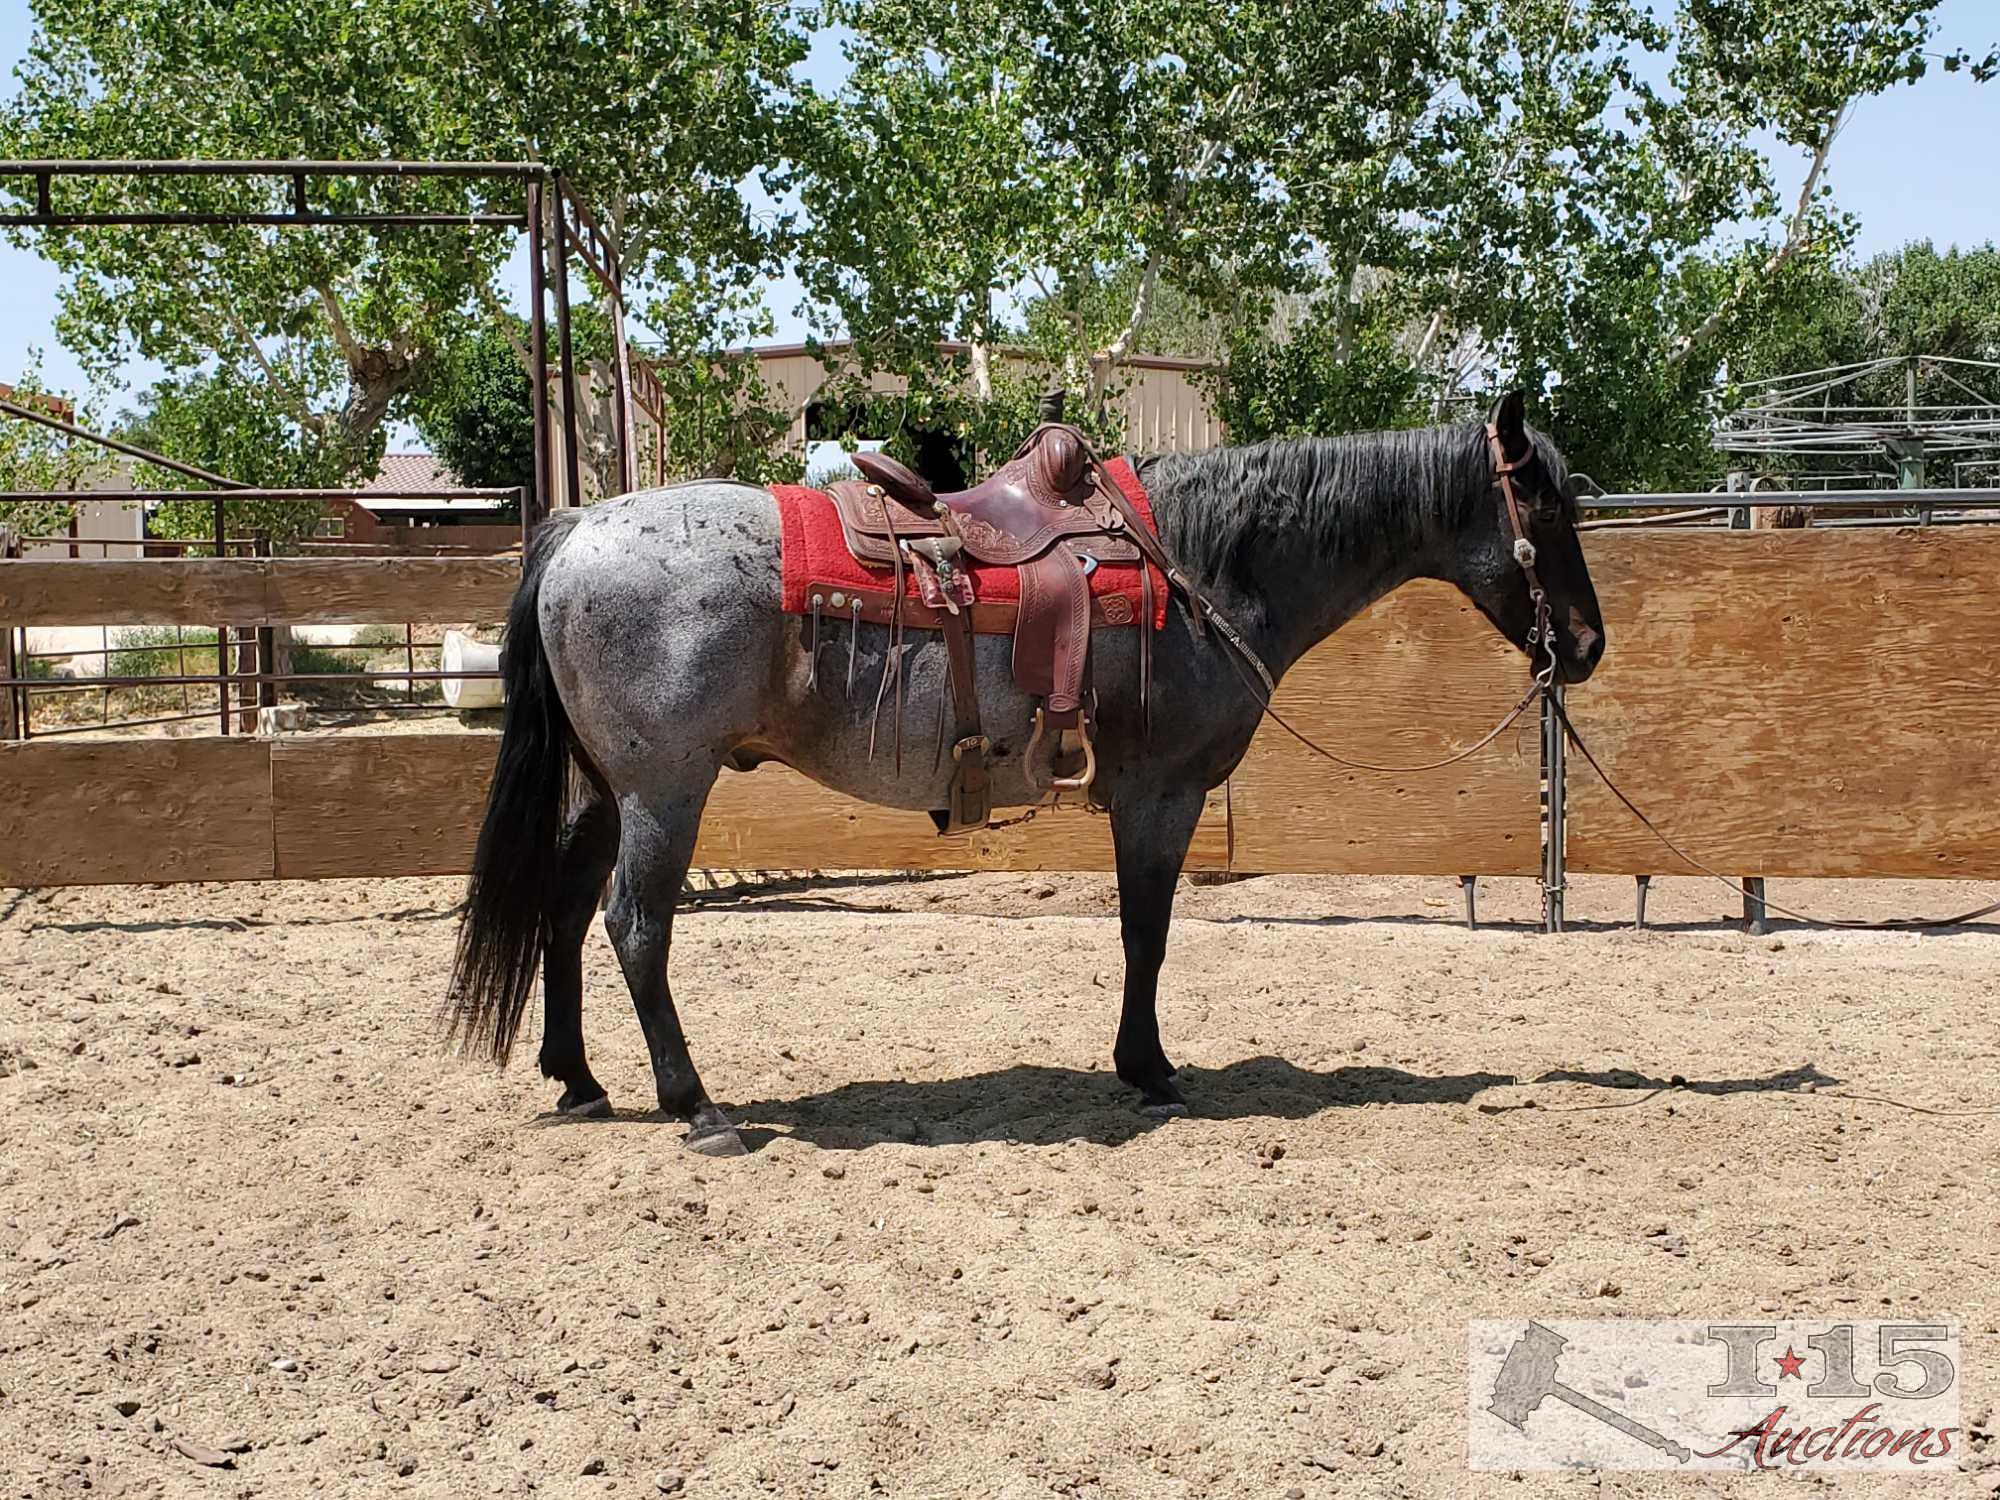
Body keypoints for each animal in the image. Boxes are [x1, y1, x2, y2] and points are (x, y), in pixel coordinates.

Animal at [446, 394, 1600, 1160]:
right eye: (1545, 515)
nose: (1586, 647)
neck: (1204, 565)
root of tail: (575, 529)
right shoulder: (1160, 794)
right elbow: (1146, 932)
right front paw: (1149, 1070)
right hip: (664, 792)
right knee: (635, 926)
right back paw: (697, 1108)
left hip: (608, 789)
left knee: (562, 908)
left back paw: (581, 1080)